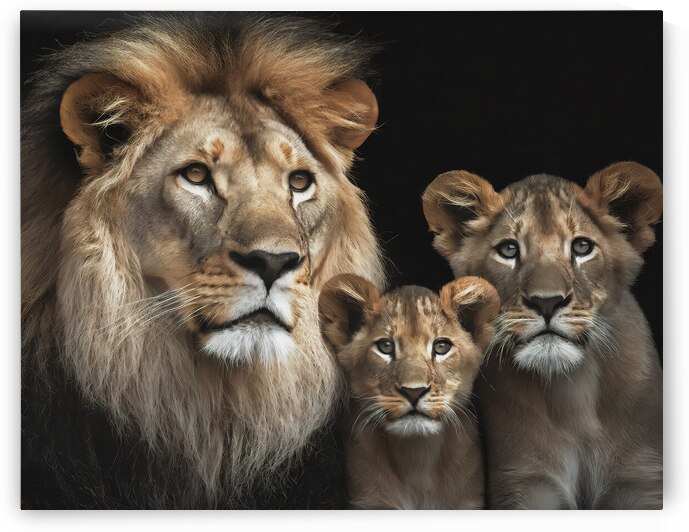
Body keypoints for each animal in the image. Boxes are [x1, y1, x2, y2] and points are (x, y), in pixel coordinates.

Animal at [422, 162, 663, 509]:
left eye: (582, 247)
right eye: (509, 249)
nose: (546, 302)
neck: (574, 393)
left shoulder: (640, 478)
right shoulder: (524, 481)